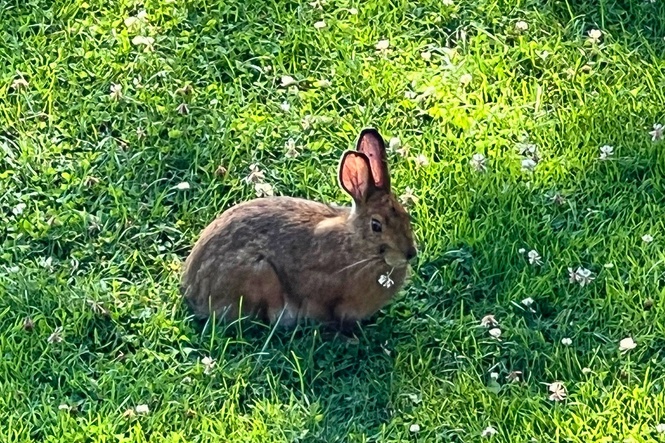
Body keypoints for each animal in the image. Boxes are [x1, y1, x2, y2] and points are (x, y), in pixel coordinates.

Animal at [180, 128, 417, 329]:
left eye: (406, 216)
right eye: (376, 226)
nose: (410, 254)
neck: (358, 247)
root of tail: (193, 290)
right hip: (261, 274)